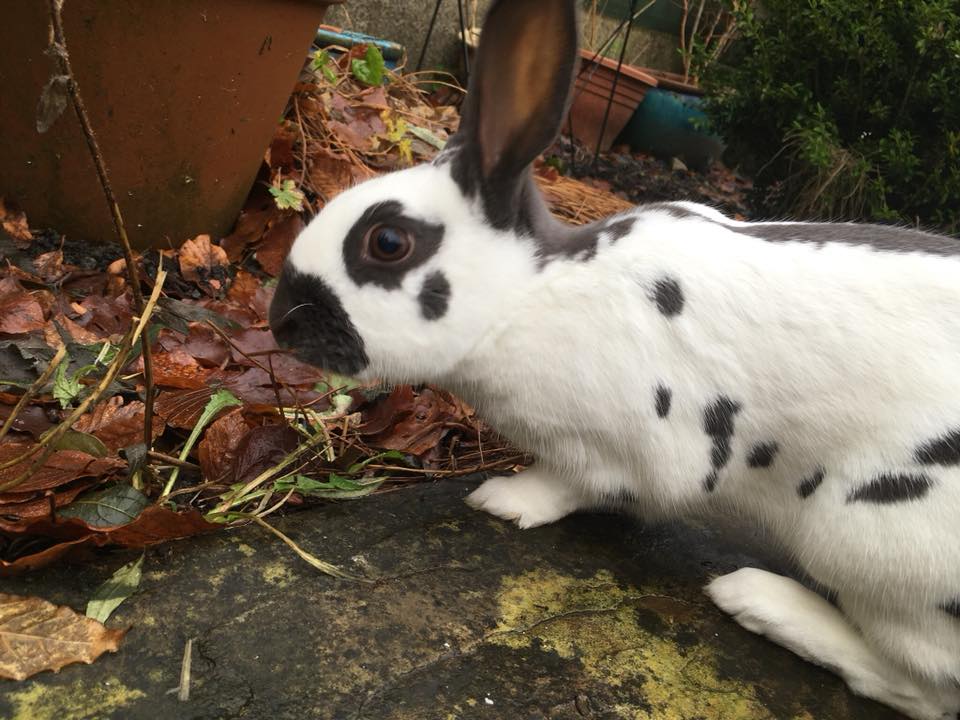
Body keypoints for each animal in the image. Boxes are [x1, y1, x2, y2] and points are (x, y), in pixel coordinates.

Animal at [268, 0, 960, 717]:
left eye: (388, 242)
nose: (279, 322)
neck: (528, 296)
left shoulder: (623, 449)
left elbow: (572, 485)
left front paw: (503, 499)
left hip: (868, 536)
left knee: (920, 685)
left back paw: (756, 599)